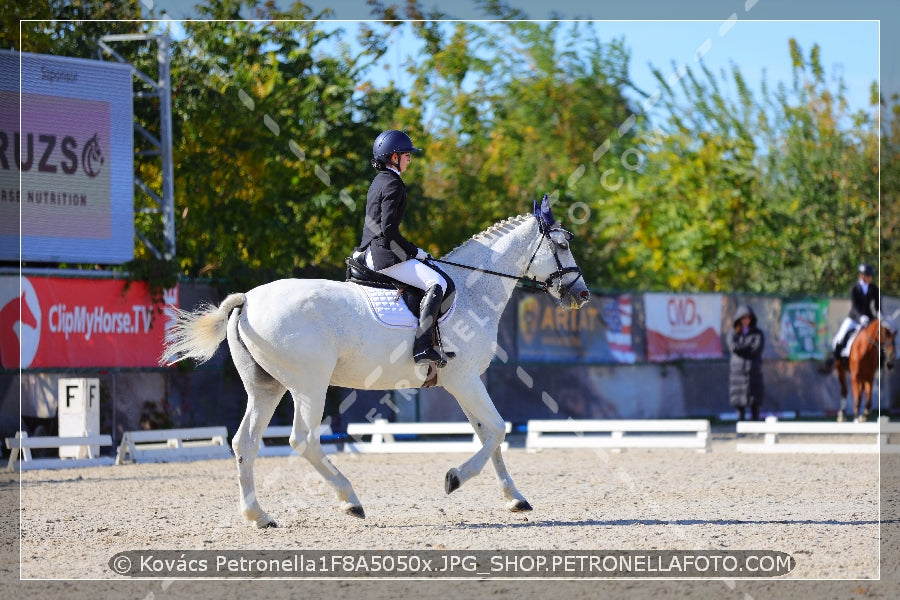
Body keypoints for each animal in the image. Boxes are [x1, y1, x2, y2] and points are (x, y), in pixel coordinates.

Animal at [163, 203, 592, 528]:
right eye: (562, 244)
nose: (582, 294)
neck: (473, 290)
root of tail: (247, 300)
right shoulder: (464, 378)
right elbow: (499, 429)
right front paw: (454, 479)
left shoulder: (465, 381)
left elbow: (490, 434)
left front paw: (515, 498)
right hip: (308, 385)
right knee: (303, 440)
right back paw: (350, 500)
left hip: (266, 387)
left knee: (245, 443)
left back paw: (259, 516)